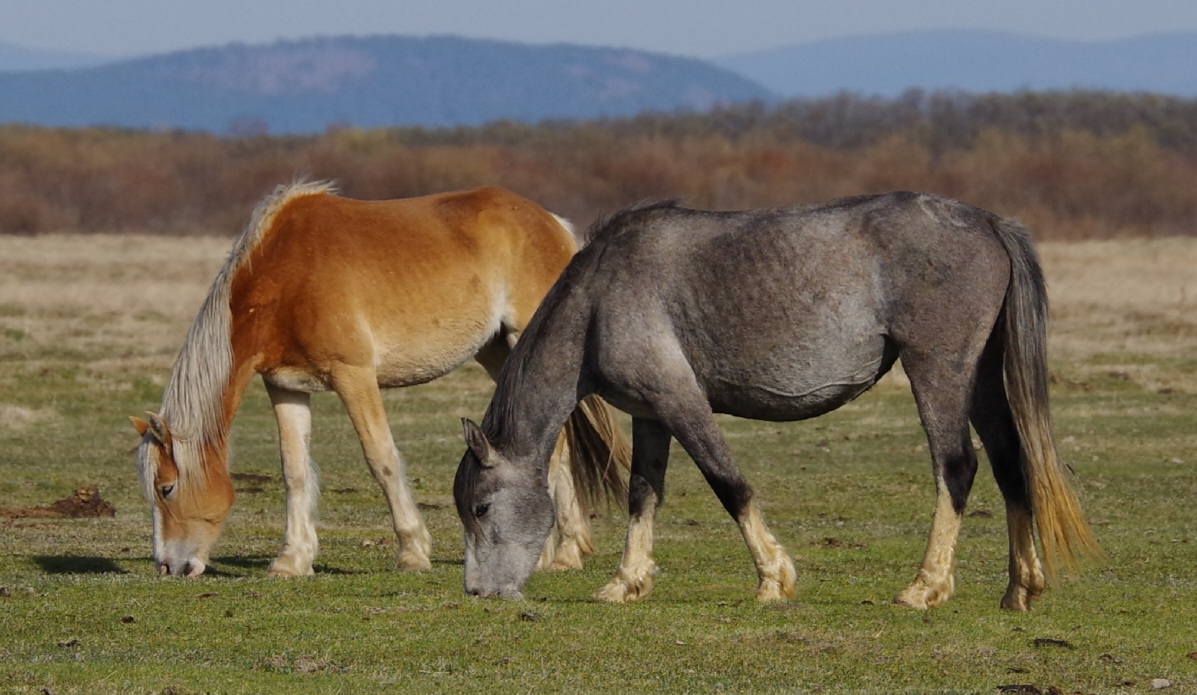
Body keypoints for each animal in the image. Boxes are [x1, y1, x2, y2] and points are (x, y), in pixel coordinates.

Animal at [133, 181, 627, 576]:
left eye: (166, 488)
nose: (169, 567)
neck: (284, 275)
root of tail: (552, 223)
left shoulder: (353, 374)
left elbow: (381, 458)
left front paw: (412, 551)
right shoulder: (285, 386)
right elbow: (294, 470)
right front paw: (292, 560)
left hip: (524, 338)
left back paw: (546, 553)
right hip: (497, 351)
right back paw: (566, 551)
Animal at [452, 192, 1096, 610]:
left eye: (481, 507)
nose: (479, 592)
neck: (601, 297)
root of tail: (986, 220)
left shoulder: (681, 403)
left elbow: (729, 484)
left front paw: (772, 579)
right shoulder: (651, 416)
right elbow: (643, 495)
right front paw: (626, 583)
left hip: (939, 371)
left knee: (957, 467)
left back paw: (925, 586)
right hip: (980, 375)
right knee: (1012, 465)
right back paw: (1020, 587)